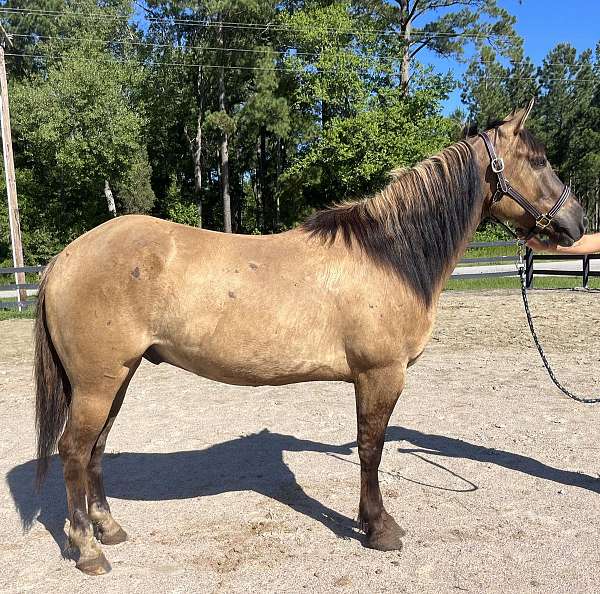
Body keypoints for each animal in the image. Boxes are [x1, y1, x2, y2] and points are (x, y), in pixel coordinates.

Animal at [32, 99, 584, 572]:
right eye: (538, 160)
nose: (577, 221)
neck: (388, 256)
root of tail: (64, 258)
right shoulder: (381, 375)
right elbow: (371, 448)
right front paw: (378, 528)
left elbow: (368, 447)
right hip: (98, 383)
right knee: (74, 451)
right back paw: (88, 549)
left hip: (115, 378)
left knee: (96, 448)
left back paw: (108, 529)